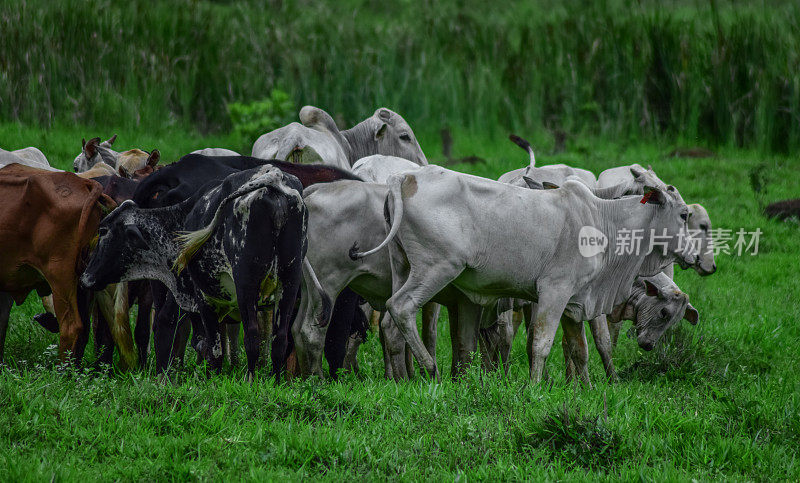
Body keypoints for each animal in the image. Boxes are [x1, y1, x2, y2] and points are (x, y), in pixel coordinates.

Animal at [81, 166, 310, 378]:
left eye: (103, 231)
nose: (85, 277)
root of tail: (274, 178)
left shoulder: (201, 297)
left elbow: (208, 345)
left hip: (246, 282)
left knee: (252, 336)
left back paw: (250, 380)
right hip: (289, 280)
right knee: (279, 339)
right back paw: (276, 380)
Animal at [350, 166, 692, 382]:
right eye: (685, 214)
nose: (690, 254)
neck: (602, 219)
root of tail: (405, 177)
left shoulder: (574, 302)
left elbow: (579, 351)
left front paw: (585, 388)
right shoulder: (553, 292)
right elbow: (540, 344)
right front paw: (535, 387)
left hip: (403, 267)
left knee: (391, 325)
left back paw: (402, 379)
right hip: (436, 269)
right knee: (401, 307)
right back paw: (429, 368)